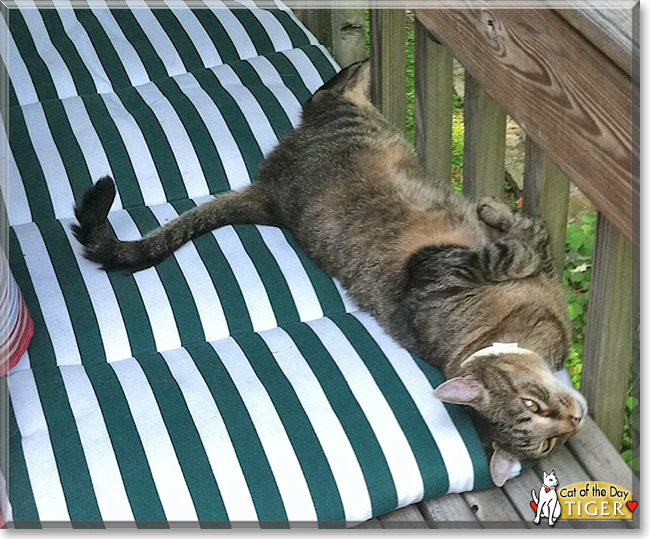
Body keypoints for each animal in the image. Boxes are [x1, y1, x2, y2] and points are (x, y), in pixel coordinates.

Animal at [73, 60, 584, 490]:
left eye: (547, 436)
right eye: (534, 417)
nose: (573, 420)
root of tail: (267, 195)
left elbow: (531, 239)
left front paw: (496, 214)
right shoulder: (433, 269)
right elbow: (522, 247)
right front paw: (501, 218)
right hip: (358, 124)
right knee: (325, 94)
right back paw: (357, 72)